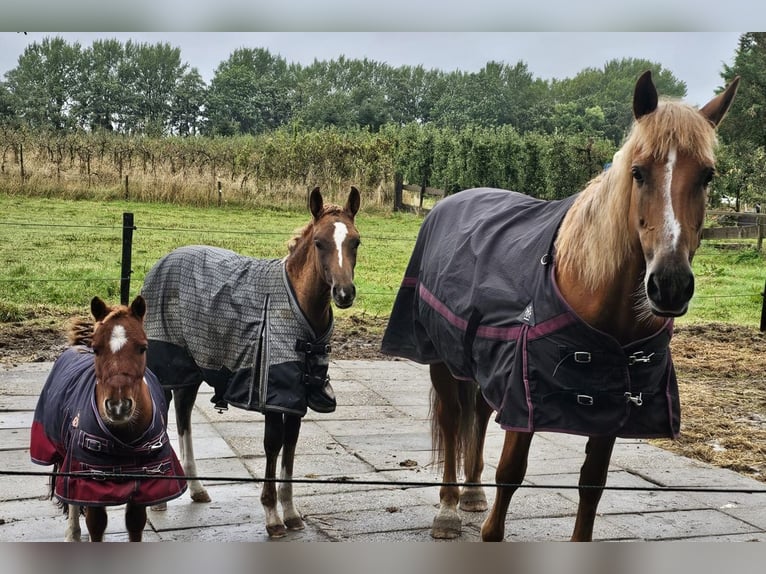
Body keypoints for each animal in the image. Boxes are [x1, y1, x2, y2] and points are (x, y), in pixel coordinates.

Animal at [30, 296, 188, 544]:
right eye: (97, 349)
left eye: (143, 348)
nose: (118, 407)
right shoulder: (91, 482)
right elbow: (95, 524)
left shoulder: (143, 483)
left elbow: (135, 524)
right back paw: (72, 534)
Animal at [380, 71, 740, 540]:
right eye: (638, 172)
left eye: (707, 175)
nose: (670, 285)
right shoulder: (525, 395)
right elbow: (510, 475)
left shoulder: (611, 407)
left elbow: (592, 484)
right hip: (441, 359)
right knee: (452, 417)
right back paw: (448, 509)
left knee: (478, 413)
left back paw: (473, 495)